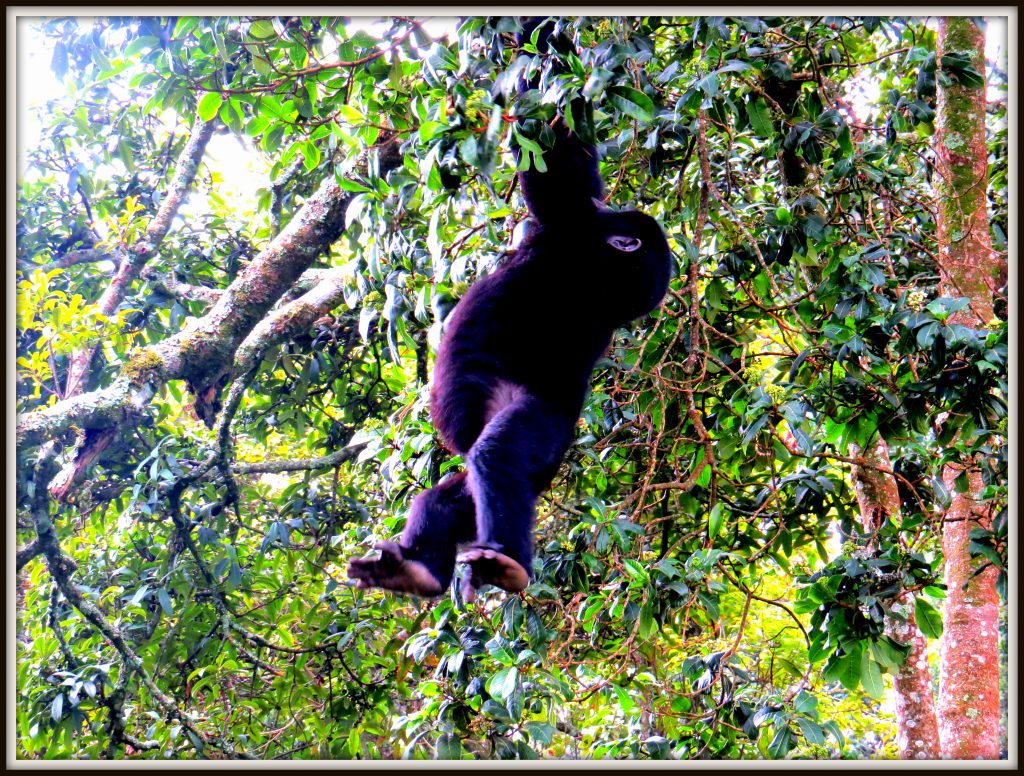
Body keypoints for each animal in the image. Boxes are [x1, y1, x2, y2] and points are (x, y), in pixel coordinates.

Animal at [348, 19, 675, 601]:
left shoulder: (569, 222)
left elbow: (554, 153)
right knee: (455, 495)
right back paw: (420, 568)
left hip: (528, 415)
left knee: (494, 457)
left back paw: (506, 560)